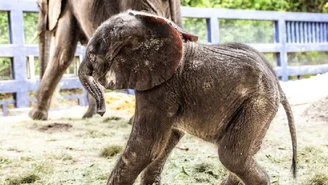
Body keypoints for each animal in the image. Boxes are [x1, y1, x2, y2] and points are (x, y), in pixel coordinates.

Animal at [28, 0, 182, 120]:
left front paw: (35, 116)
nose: (101, 112)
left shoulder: (68, 9)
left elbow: (63, 54)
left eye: (39, 5)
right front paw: (89, 115)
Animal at [79, 10, 298, 185]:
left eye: (93, 50)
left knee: (231, 156)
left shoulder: (162, 87)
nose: (101, 111)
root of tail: (278, 84)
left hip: (257, 102)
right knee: (245, 153)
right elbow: (165, 142)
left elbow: (146, 146)